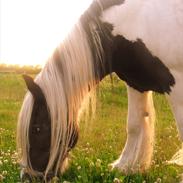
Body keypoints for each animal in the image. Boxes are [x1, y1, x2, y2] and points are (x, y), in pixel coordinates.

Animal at [17, 0, 183, 181]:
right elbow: (134, 124)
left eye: (37, 128)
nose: (28, 176)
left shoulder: (176, 81)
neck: (136, 20)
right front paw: (125, 168)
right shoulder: (136, 82)